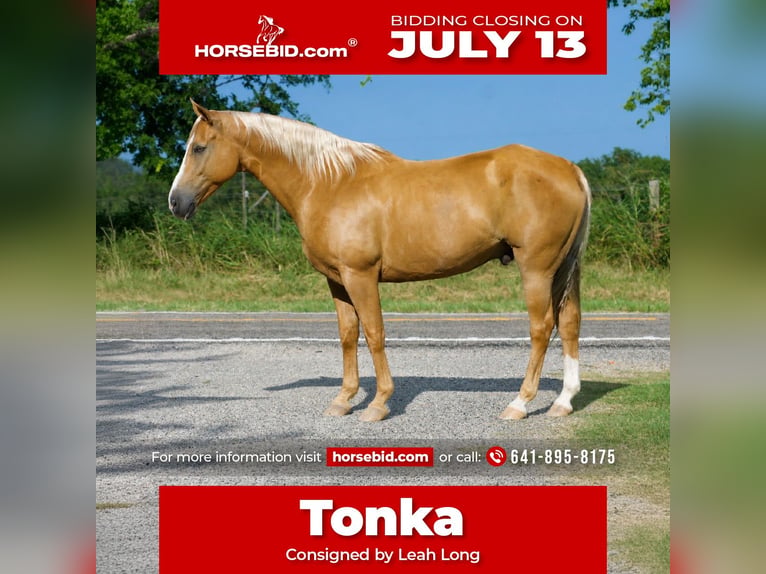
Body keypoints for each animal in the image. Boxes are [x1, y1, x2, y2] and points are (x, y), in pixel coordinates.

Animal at [169, 100, 591, 422]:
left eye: (199, 147)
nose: (176, 202)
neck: (330, 182)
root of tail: (569, 168)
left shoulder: (361, 276)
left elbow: (374, 334)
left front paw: (378, 404)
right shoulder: (337, 280)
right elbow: (348, 336)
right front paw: (342, 400)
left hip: (536, 269)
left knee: (542, 327)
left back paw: (519, 404)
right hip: (563, 269)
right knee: (569, 323)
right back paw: (563, 401)